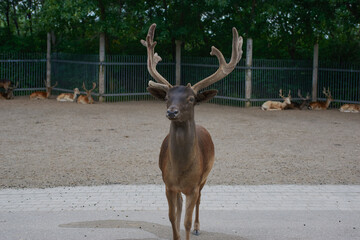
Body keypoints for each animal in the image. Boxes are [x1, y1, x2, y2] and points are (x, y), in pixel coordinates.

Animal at [142, 23, 243, 240]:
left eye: (190, 99)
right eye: (167, 98)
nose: (172, 111)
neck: (180, 170)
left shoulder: (194, 185)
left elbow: (187, 220)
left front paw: (191, 228)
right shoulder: (168, 184)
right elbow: (172, 217)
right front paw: (176, 234)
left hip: (206, 175)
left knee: (199, 201)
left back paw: (198, 227)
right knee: (180, 207)